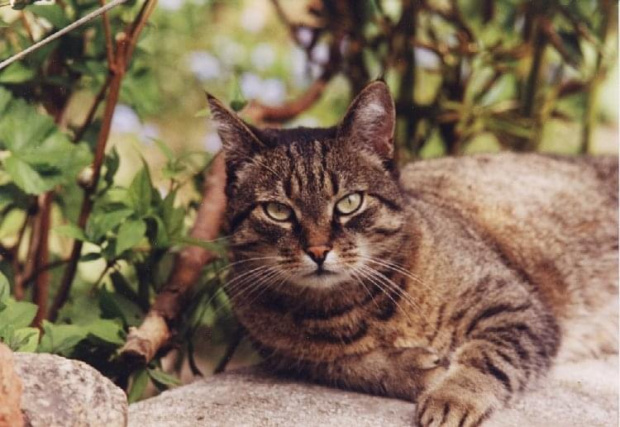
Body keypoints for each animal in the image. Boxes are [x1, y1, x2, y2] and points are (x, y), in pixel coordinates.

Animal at [206, 81, 616, 427]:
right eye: (277, 210)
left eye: (349, 202)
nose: (318, 250)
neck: (345, 311)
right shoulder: (289, 358)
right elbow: (351, 366)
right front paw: (413, 370)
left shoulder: (516, 307)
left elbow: (485, 357)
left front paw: (452, 395)